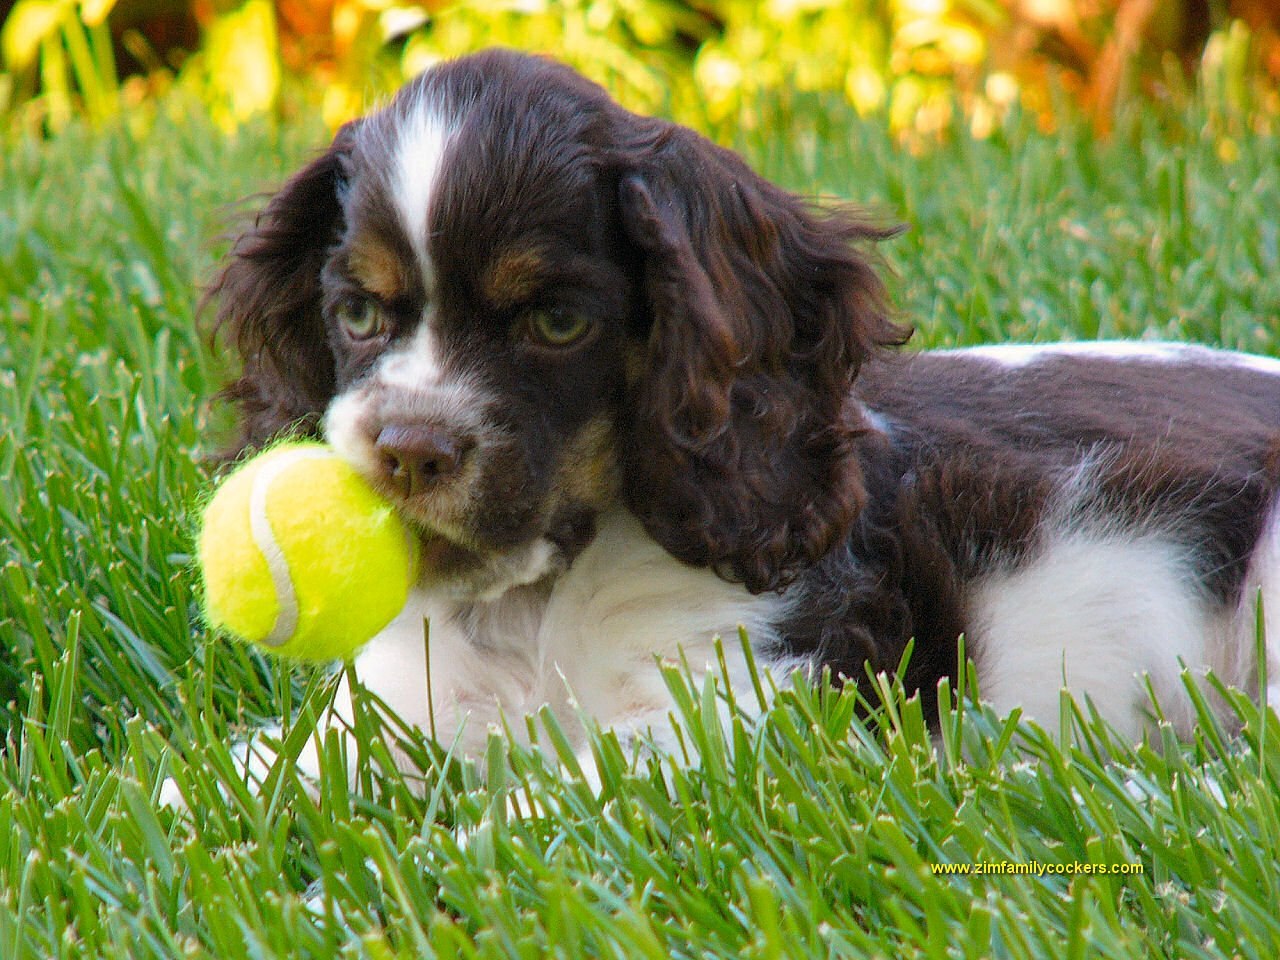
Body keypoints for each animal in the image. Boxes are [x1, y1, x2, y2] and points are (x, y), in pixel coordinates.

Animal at [204, 47, 1280, 783]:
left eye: (556, 323)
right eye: (356, 314)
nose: (408, 452)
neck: (539, 603)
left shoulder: (736, 709)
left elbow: (545, 810)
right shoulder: (408, 702)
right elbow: (262, 771)